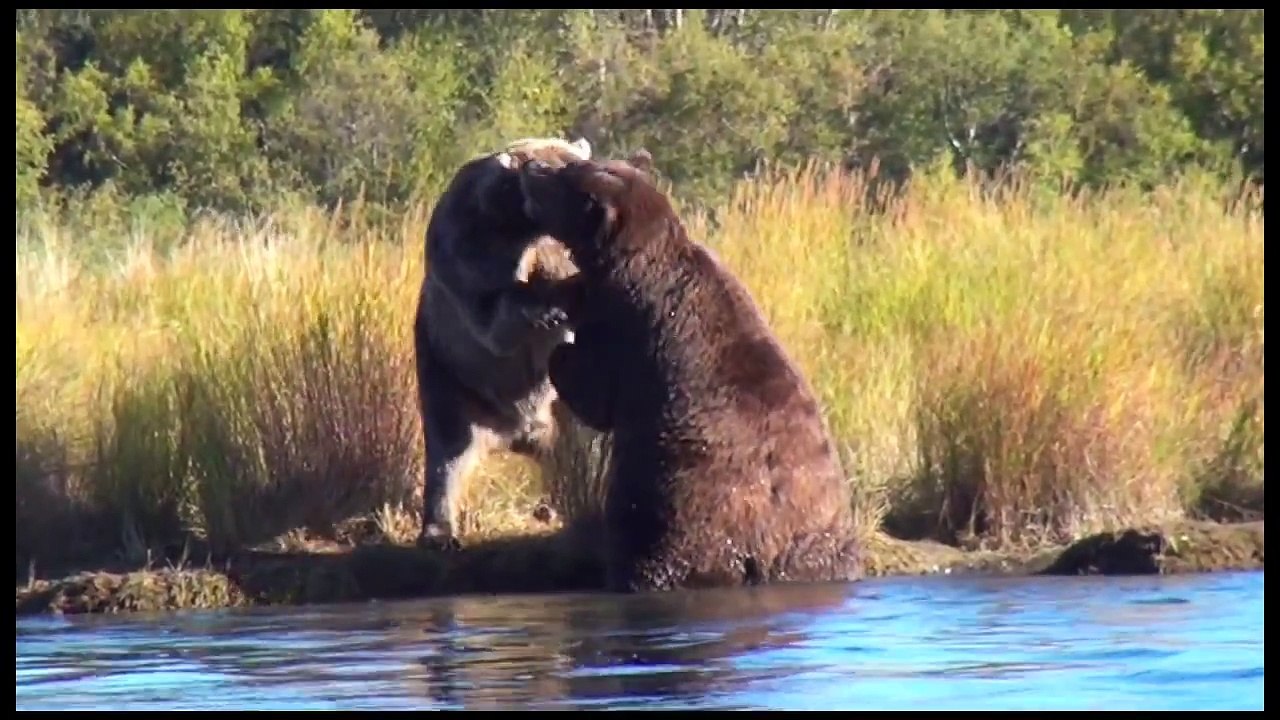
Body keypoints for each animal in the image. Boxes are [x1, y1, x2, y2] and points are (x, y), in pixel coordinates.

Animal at [413, 136, 599, 550]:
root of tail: (521, 433)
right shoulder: (467, 247)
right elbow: (494, 311)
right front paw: (544, 312)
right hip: (449, 373)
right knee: (448, 448)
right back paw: (438, 530)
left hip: (565, 400)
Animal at [513, 154, 864, 592]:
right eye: (574, 165)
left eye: (566, 176)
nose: (529, 165)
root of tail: (763, 551)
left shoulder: (626, 331)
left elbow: (593, 390)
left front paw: (555, 336)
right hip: (818, 540)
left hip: (672, 504)